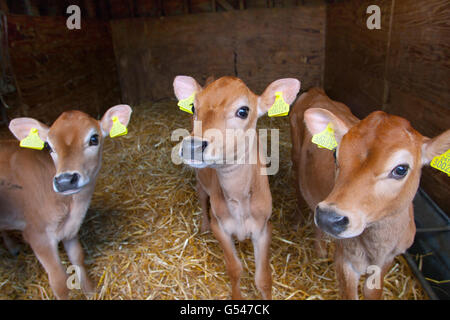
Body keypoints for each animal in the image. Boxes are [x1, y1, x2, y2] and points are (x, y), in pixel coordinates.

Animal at [0, 104, 132, 298]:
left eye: (94, 139)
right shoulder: (38, 236)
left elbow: (79, 259)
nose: (64, 180)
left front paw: (90, 291)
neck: (72, 207)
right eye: (48, 146)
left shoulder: (70, 231)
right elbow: (59, 282)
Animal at [174, 76, 300, 298]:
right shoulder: (221, 227)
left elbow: (263, 279)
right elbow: (234, 269)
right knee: (201, 195)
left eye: (243, 111)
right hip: (200, 178)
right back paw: (204, 225)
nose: (192, 146)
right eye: (193, 106)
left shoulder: (264, 228)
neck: (239, 200)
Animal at [290, 88, 448, 300]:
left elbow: (372, 291)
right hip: (296, 155)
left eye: (401, 169)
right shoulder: (345, 259)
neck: (378, 246)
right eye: (335, 154)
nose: (328, 217)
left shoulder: (388, 258)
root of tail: (317, 91)